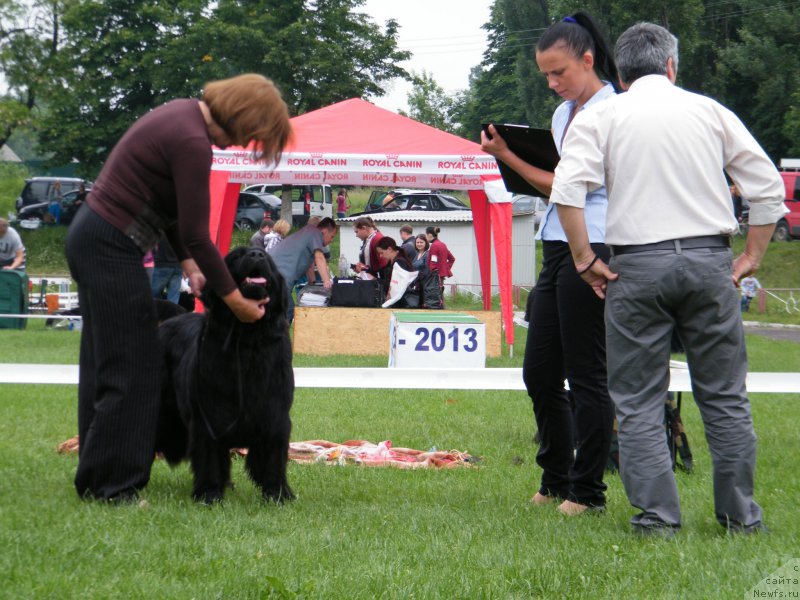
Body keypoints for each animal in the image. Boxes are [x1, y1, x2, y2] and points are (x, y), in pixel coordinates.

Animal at [155, 246, 296, 504]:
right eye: (237, 256)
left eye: (267, 258)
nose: (257, 255)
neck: (248, 337)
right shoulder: (209, 415)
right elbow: (210, 456)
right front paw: (209, 494)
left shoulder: (275, 413)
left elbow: (273, 456)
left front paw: (277, 494)